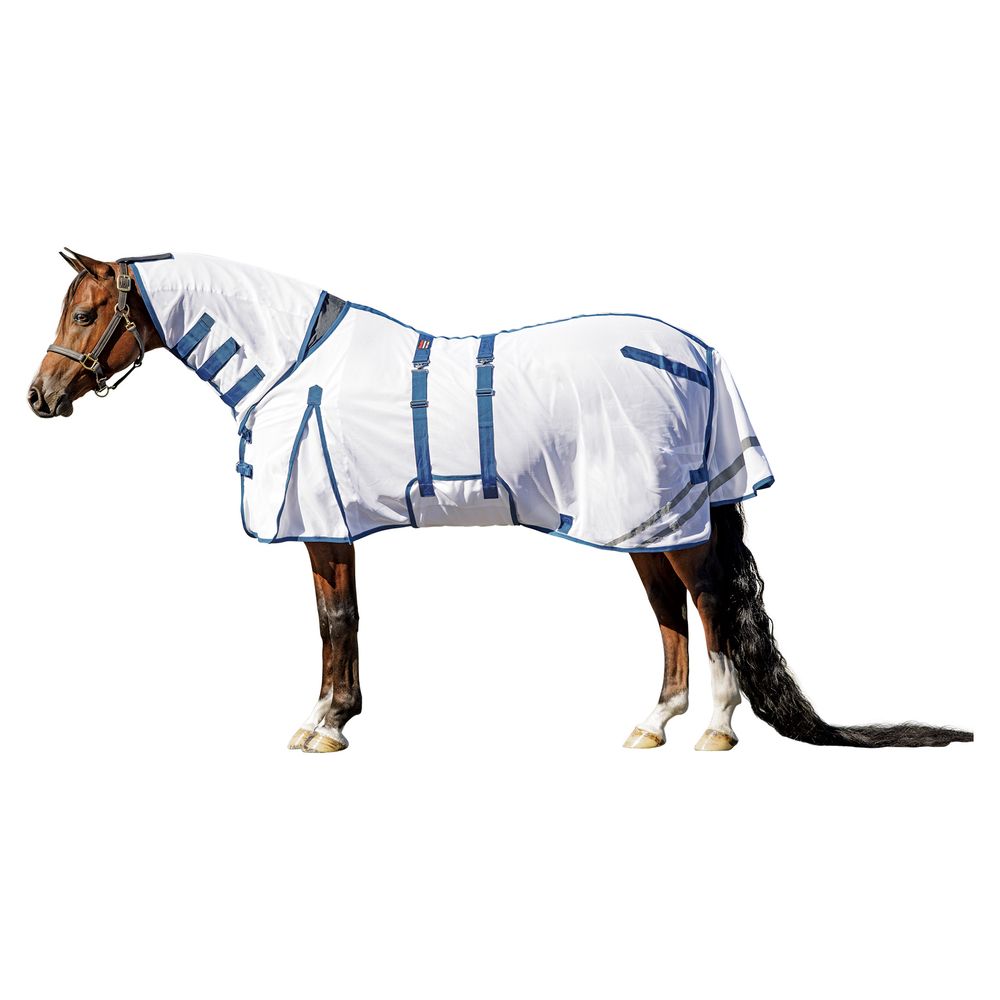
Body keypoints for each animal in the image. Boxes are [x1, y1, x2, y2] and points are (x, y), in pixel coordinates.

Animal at [27, 249, 973, 753]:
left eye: (86, 312)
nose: (38, 397)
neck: (296, 363)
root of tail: (695, 351)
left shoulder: (323, 527)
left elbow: (334, 622)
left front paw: (325, 724)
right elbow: (345, 621)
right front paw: (341, 715)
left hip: (672, 524)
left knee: (705, 608)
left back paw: (714, 727)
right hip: (642, 525)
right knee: (670, 615)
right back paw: (653, 724)